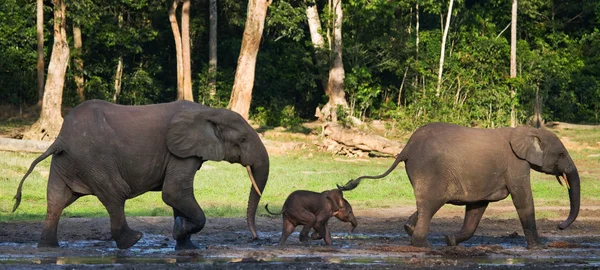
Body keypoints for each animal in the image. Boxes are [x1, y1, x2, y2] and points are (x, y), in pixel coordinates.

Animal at [12, 99, 270, 251]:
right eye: (243, 139)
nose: (255, 239)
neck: (209, 112)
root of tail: (60, 139)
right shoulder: (179, 151)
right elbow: (174, 192)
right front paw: (180, 232)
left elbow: (178, 197)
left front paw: (187, 246)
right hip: (95, 159)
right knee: (115, 195)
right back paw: (133, 240)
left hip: (67, 161)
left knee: (56, 200)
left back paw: (48, 248)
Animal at [338, 122, 576, 249]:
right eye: (561, 154)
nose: (560, 226)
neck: (528, 130)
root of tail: (406, 148)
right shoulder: (516, 164)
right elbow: (523, 200)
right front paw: (538, 247)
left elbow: (477, 208)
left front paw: (450, 240)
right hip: (429, 170)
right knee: (430, 205)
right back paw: (422, 245)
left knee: (425, 205)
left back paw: (410, 230)